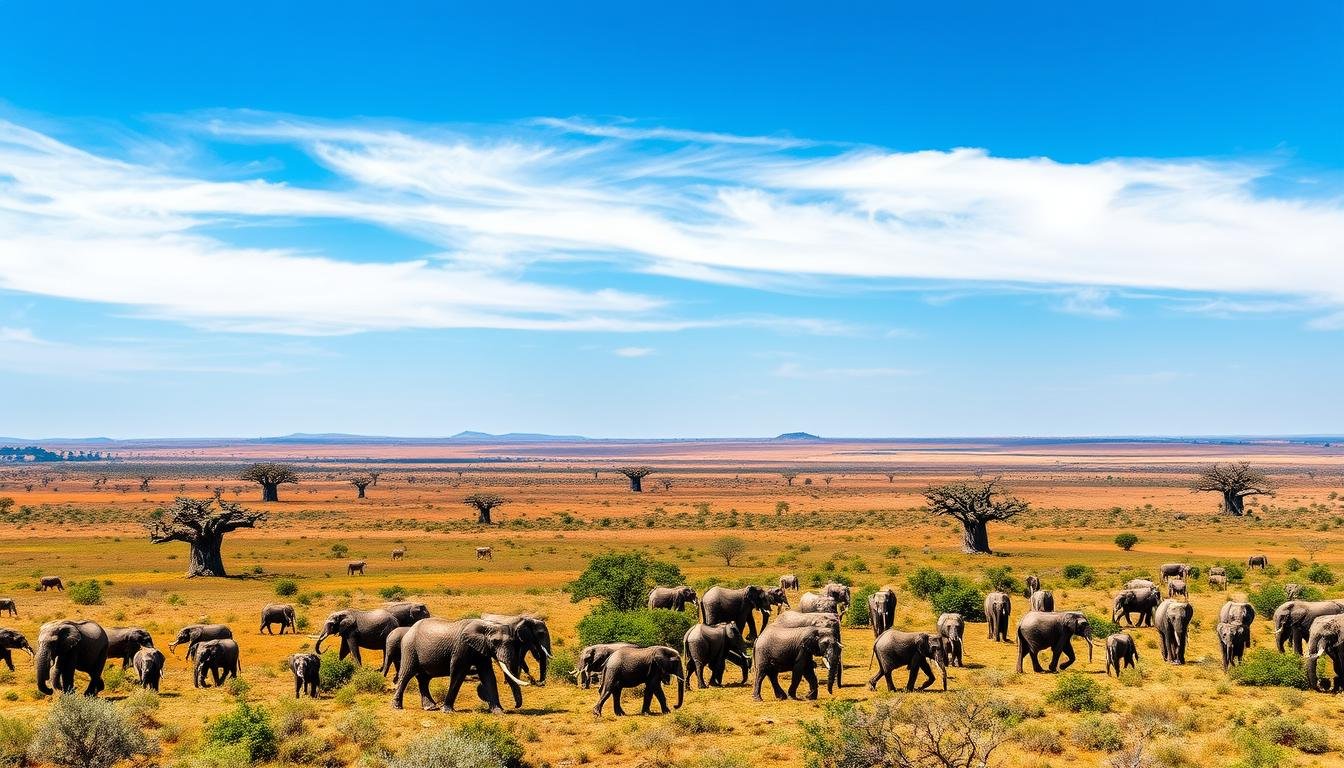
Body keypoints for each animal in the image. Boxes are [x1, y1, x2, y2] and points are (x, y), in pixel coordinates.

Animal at [389, 616, 529, 720]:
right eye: (495, 642)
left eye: (512, 641)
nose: (516, 706)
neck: (485, 625)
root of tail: (409, 630)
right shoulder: (461, 647)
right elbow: (457, 674)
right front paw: (447, 711)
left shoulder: (481, 650)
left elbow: (488, 675)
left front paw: (498, 711)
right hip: (409, 648)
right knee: (406, 674)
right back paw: (397, 707)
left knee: (424, 679)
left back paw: (431, 707)